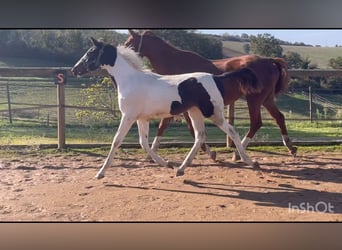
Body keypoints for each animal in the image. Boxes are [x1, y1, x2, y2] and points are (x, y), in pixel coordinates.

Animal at [71, 37, 260, 179]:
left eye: (90, 52)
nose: (74, 69)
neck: (130, 80)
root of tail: (216, 77)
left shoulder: (128, 116)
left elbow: (117, 140)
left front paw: (100, 173)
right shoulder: (141, 118)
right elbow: (143, 142)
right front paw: (166, 164)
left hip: (213, 113)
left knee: (231, 131)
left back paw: (250, 161)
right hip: (195, 112)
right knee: (200, 136)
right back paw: (181, 168)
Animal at [123, 29, 296, 160]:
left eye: (129, 42)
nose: (122, 52)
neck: (175, 63)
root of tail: (270, 61)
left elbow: (185, 128)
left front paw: (210, 152)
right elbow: (165, 126)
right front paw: (151, 154)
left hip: (254, 99)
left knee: (256, 123)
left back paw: (237, 154)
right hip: (266, 99)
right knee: (279, 117)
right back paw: (290, 147)